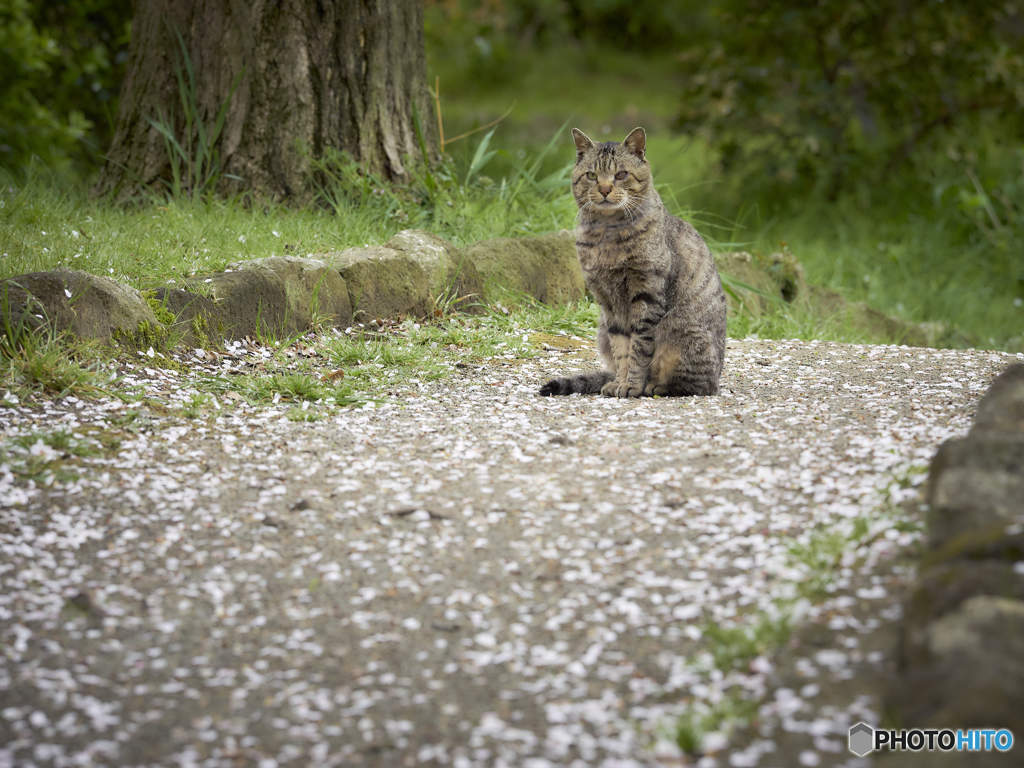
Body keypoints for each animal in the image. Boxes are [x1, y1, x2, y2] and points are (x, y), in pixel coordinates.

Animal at [540, 126, 724, 399]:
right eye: (592, 175)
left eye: (621, 174)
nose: (605, 189)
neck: (608, 232)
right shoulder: (608, 302)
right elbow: (622, 350)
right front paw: (620, 382)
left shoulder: (646, 294)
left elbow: (639, 349)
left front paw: (632, 385)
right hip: (602, 331)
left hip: (683, 334)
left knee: (697, 385)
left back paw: (655, 386)